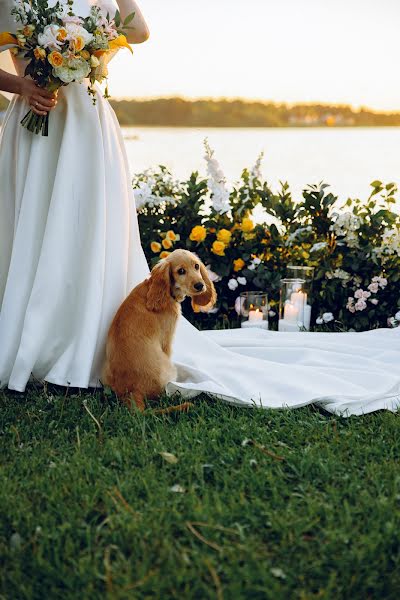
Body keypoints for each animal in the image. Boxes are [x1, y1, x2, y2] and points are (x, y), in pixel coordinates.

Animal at [101, 250, 217, 412]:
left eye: (196, 266)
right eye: (181, 271)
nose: (200, 285)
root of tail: (131, 392)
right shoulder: (167, 338)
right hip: (169, 369)